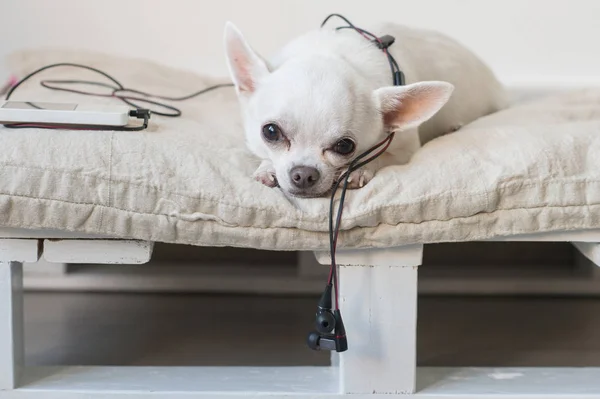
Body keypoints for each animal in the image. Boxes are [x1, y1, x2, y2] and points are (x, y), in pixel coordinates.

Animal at [225, 20, 506, 198]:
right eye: (270, 132)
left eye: (344, 146)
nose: (303, 174)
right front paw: (266, 167)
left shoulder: (405, 149)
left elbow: (381, 155)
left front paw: (359, 169)